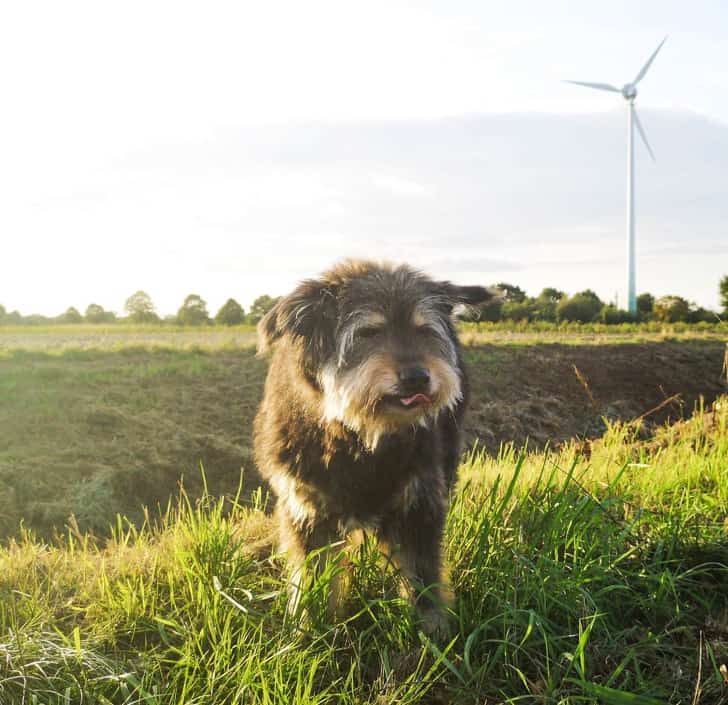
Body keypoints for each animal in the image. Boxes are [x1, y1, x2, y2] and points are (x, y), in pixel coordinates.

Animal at [252, 258, 494, 632]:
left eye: (424, 330)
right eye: (368, 332)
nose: (417, 377)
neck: (361, 439)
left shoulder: (419, 503)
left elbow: (423, 579)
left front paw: (434, 633)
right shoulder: (307, 511)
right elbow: (312, 576)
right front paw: (310, 629)